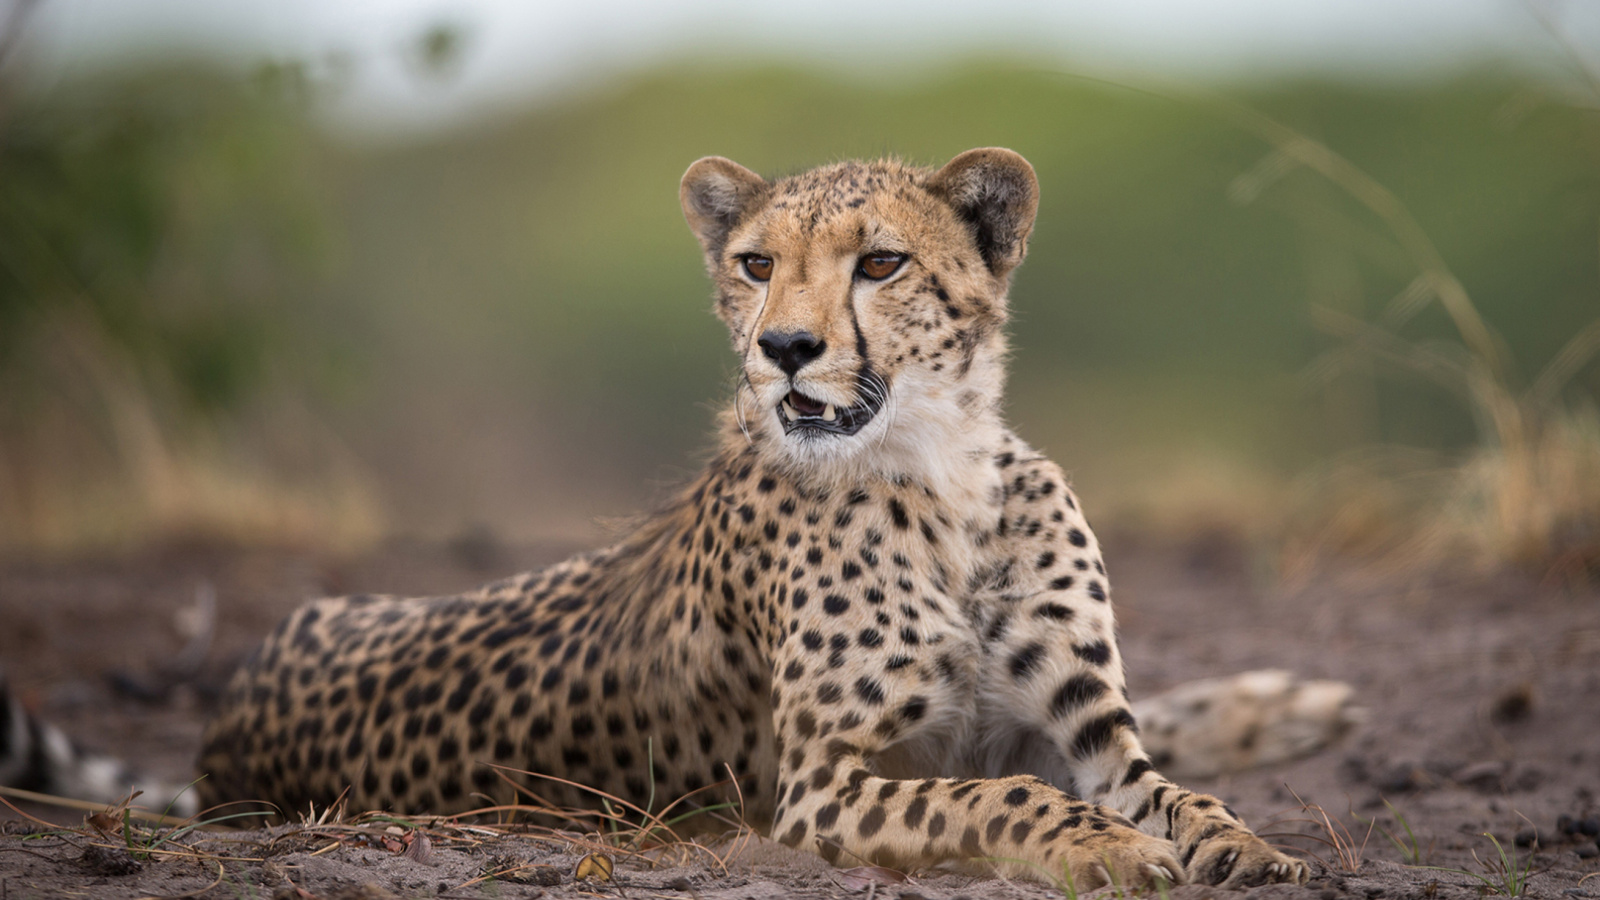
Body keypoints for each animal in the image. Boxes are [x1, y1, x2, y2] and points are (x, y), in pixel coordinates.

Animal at [184, 147, 1350, 883]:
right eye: (755, 264)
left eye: (879, 262)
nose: (784, 347)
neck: (945, 476)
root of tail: (224, 735)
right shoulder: (819, 789)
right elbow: (1003, 798)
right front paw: (1109, 848)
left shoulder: (1090, 733)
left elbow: (1182, 795)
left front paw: (1247, 847)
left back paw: (1287, 703)